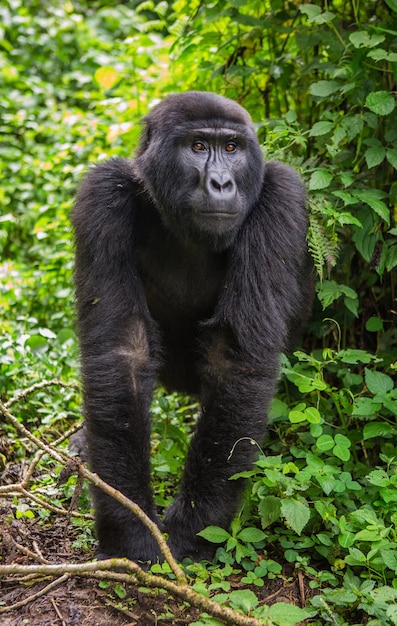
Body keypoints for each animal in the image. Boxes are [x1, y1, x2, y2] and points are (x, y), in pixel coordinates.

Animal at [72, 90, 312, 564]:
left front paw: (196, 525)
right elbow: (122, 352)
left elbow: (234, 358)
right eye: (198, 146)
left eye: (232, 148)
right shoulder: (102, 195)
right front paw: (129, 528)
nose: (221, 183)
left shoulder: (281, 196)